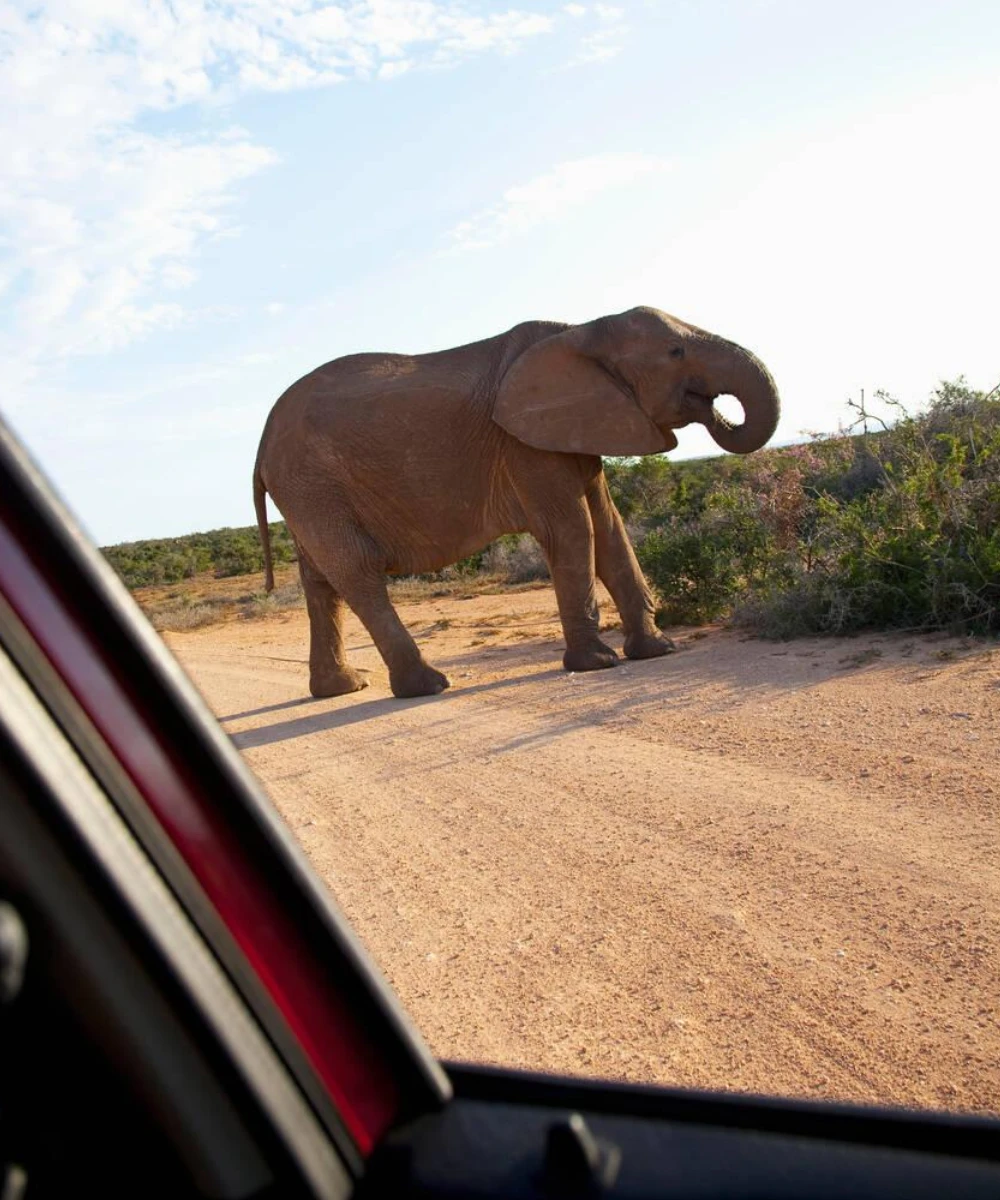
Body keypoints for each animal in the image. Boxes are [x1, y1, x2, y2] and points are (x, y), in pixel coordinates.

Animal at [253, 306, 780, 699]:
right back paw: (427, 686)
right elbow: (573, 529)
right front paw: (597, 664)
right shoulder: (524, 444)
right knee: (357, 571)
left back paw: (342, 689)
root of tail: (260, 447)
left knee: (320, 581)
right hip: (313, 484)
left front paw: (658, 650)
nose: (714, 412)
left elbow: (610, 528)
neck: (581, 330)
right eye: (675, 351)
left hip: (306, 492)